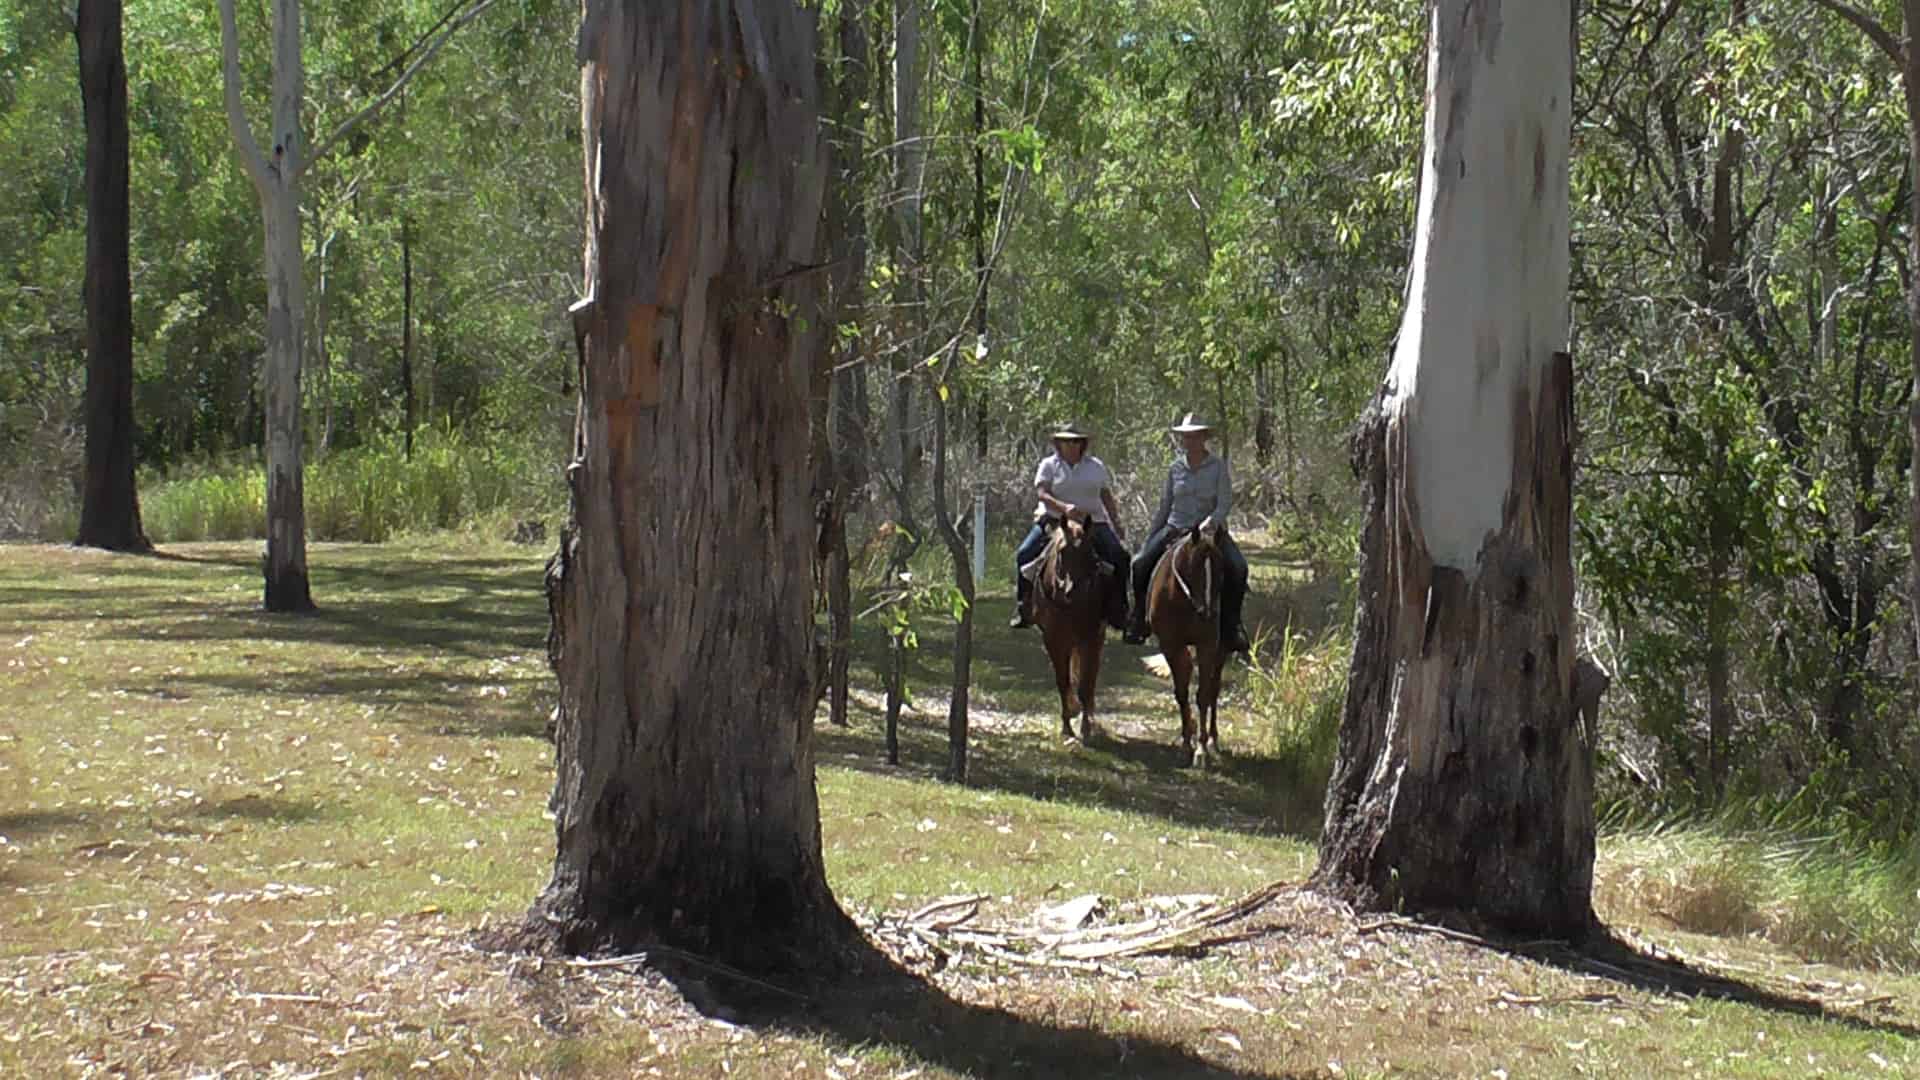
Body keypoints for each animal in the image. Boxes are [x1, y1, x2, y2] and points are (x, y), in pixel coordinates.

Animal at [1036, 515, 1113, 737]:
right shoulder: (1053, 639)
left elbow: (1086, 684)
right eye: (1062, 551)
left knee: (1090, 677)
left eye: (1089, 553)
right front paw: (1067, 724)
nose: (1073, 591)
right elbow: (1063, 681)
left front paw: (1086, 726)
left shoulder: (1091, 638)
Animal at [1136, 518, 1228, 764]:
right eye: (1194, 567)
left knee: (1214, 688)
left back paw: (1213, 740)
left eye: (1221, 569)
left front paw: (1201, 750)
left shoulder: (1207, 645)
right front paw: (1187, 744)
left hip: (1221, 651)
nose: (1207, 613)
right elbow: (1181, 692)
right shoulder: (1170, 644)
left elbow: (1203, 694)